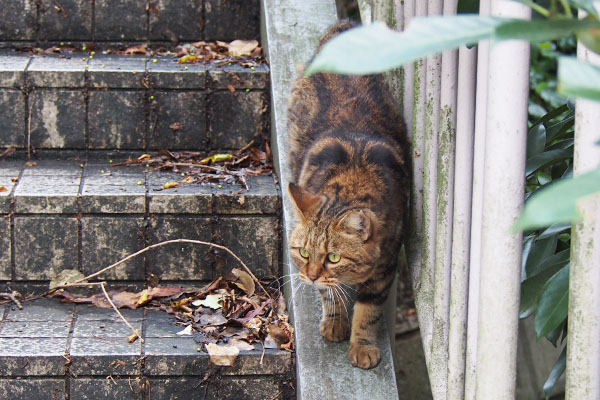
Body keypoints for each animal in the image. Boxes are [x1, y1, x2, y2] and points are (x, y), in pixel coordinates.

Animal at [288, 19, 410, 368]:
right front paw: (335, 322)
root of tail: (344, 26)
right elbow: (331, 295)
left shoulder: (386, 266)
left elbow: (368, 312)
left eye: (334, 257)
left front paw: (363, 345)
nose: (309, 276)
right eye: (303, 253)